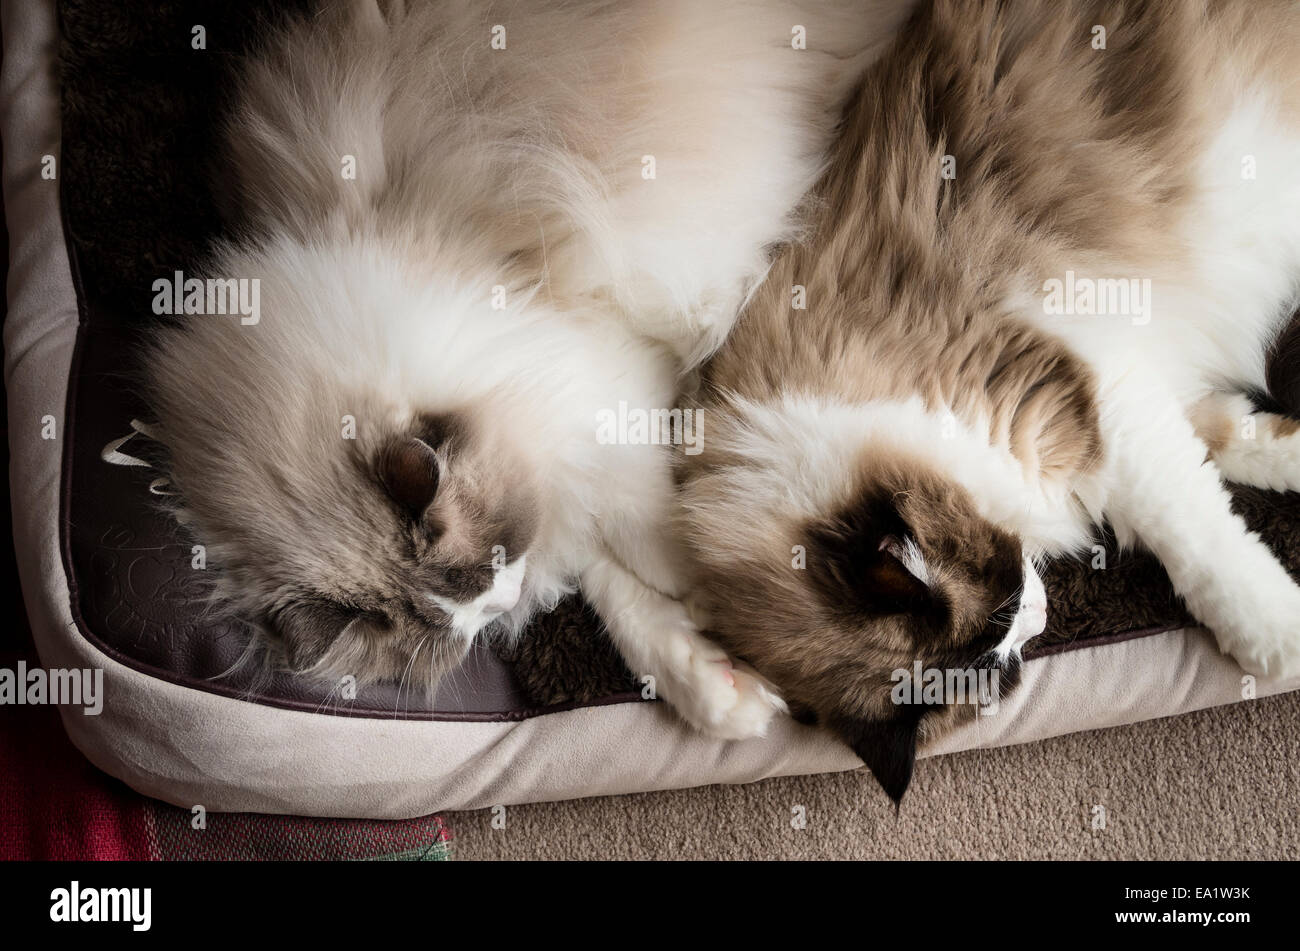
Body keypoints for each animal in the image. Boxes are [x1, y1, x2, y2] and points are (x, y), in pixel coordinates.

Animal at [142, 0, 915, 737]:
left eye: (489, 564)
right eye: (471, 612)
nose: (505, 599)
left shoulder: (608, 373)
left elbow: (646, 520)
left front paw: (706, 591)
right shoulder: (565, 451)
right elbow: (613, 582)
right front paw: (713, 679)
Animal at [676, 0, 1300, 800]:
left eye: (1005, 605)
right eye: (1001, 657)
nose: (1039, 614)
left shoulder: (1087, 387)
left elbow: (1196, 537)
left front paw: (1276, 637)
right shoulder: (1118, 395)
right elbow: (1227, 445)